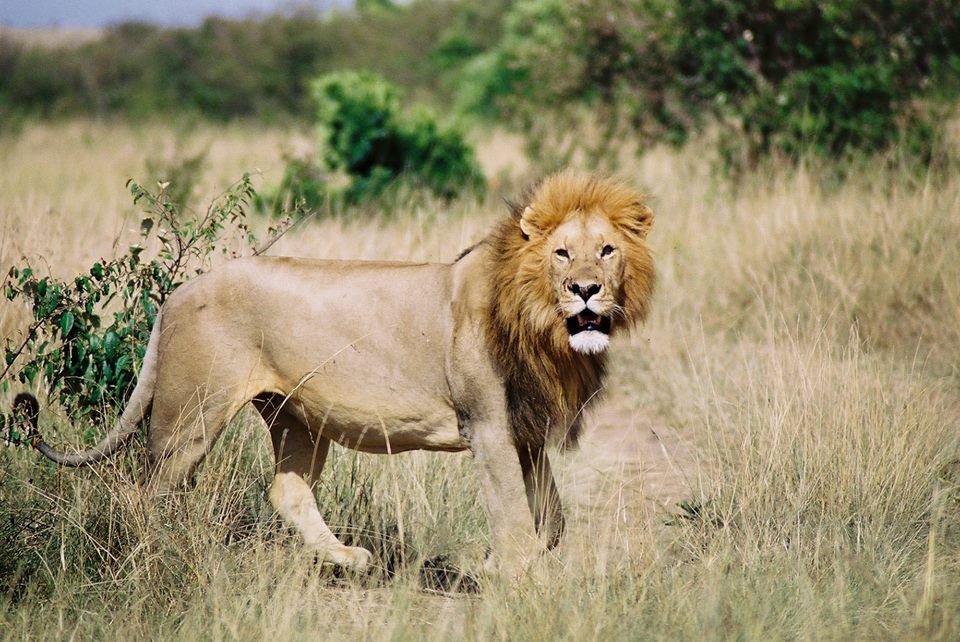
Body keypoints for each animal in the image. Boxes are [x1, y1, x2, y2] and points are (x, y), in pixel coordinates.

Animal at [27, 171, 655, 575]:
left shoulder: (526, 431)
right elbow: (516, 515)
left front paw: (496, 563)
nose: (586, 290)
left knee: (285, 489)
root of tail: (176, 295)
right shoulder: (489, 425)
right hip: (191, 414)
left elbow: (551, 519)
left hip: (296, 416)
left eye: (606, 251)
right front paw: (504, 573)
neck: (544, 327)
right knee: (150, 491)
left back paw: (349, 559)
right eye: (561, 254)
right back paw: (155, 554)